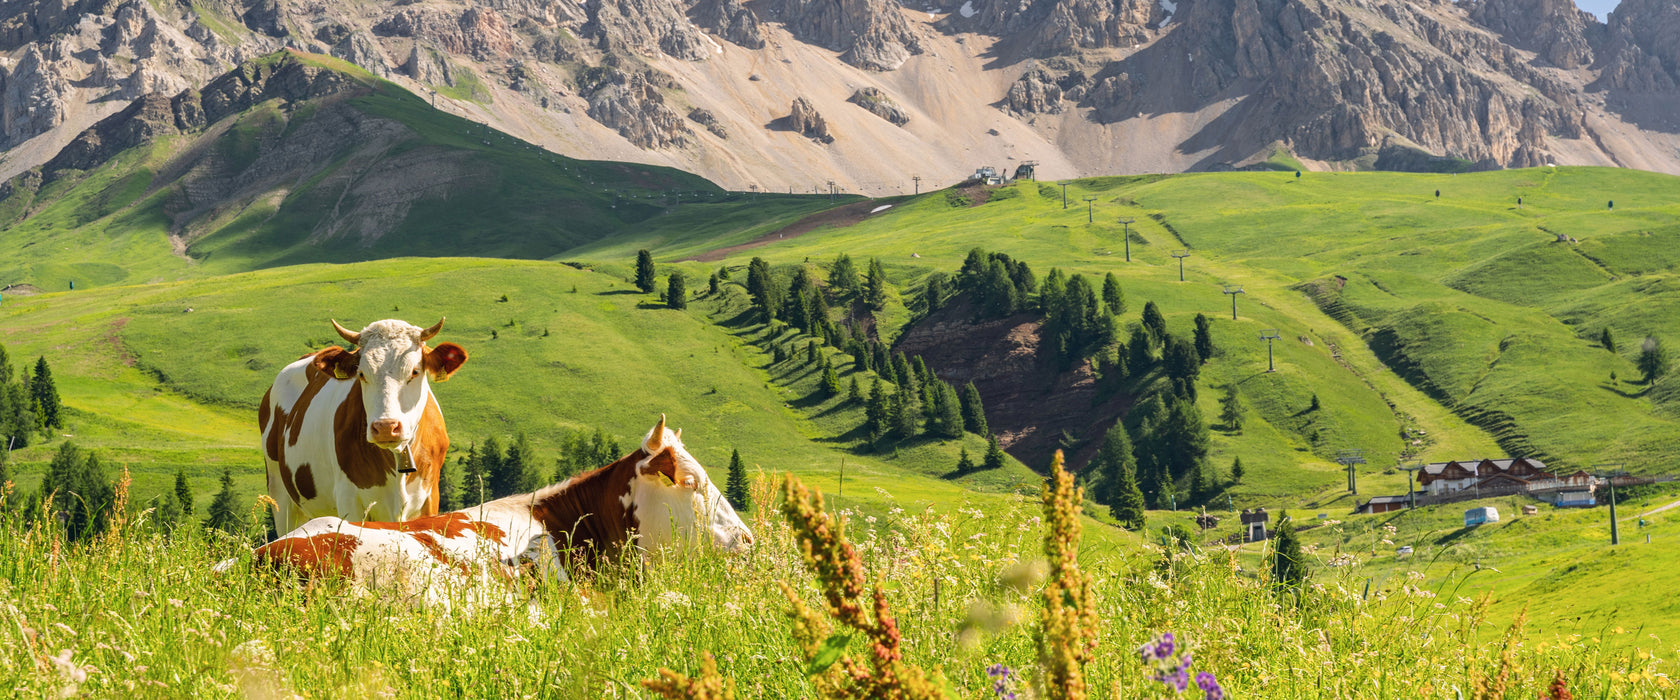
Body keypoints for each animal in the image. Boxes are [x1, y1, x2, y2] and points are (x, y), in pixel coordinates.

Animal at [262, 318, 473, 530]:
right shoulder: (348, 499)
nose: (386, 427)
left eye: (414, 372)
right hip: (280, 494)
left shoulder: (430, 498)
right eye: (362, 374)